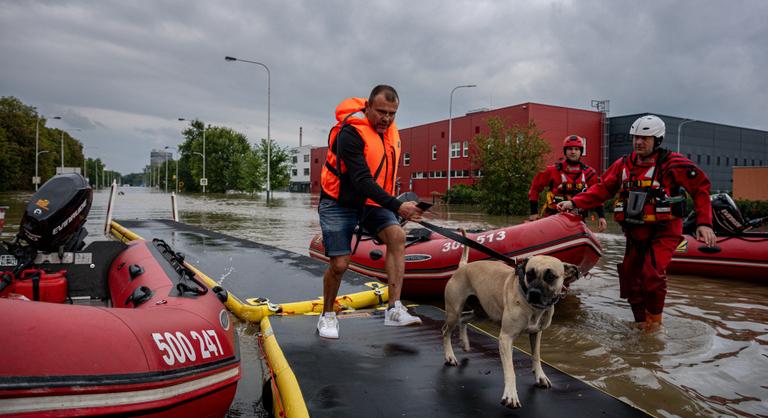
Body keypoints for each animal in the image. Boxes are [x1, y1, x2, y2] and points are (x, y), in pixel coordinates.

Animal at [440, 238, 580, 408]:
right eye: (529, 274)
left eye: (551, 276)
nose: (534, 293)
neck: (531, 305)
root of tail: (463, 267)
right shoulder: (506, 338)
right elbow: (510, 370)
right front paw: (511, 395)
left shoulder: (536, 333)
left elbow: (536, 355)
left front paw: (540, 376)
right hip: (454, 312)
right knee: (446, 331)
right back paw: (450, 356)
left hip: (483, 313)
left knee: (464, 319)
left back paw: (464, 342)